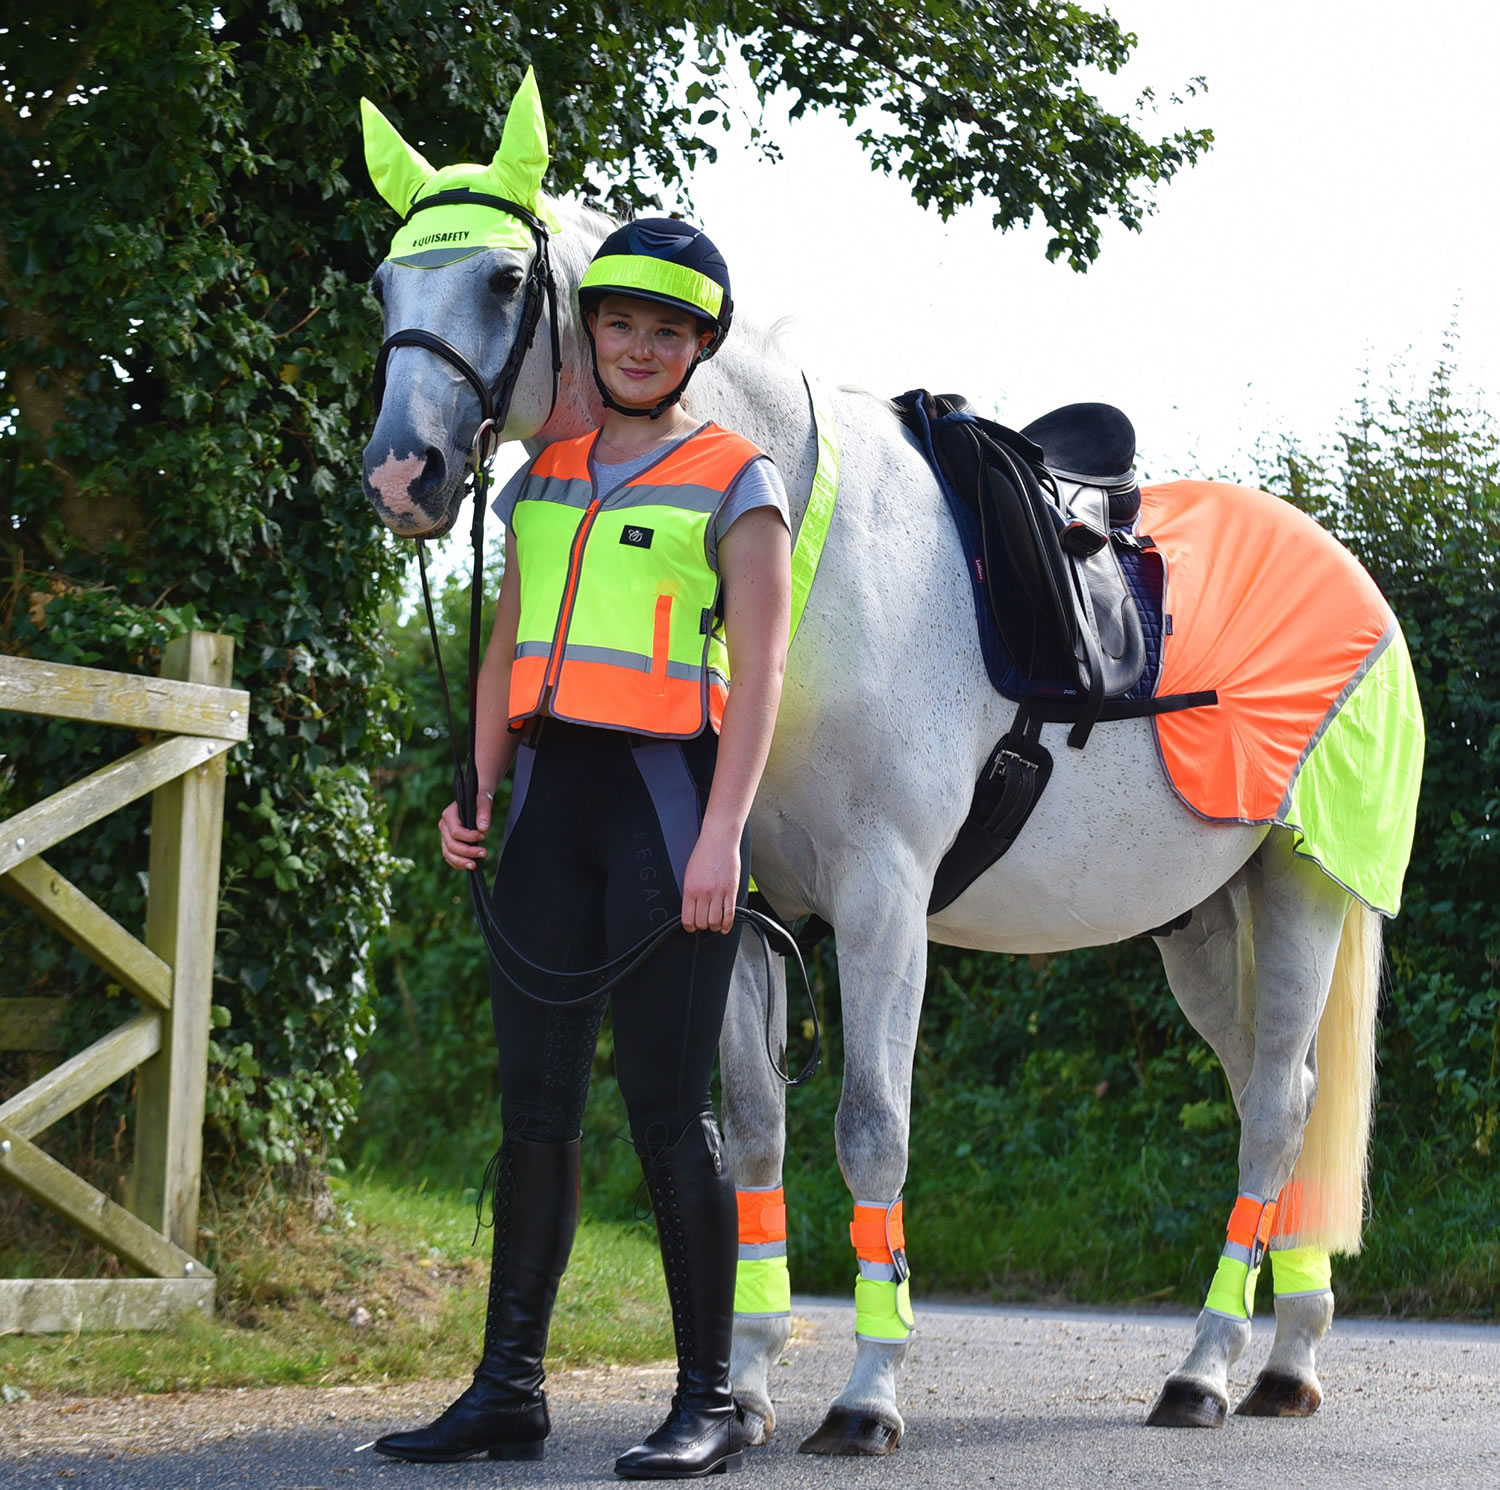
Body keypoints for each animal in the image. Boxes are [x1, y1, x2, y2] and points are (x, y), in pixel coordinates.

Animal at [360, 162, 1416, 1440]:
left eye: (505, 278)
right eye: (384, 282)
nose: (400, 472)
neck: (805, 559)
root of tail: (1359, 579)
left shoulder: (882, 900)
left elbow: (871, 1127)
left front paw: (866, 1394)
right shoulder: (741, 908)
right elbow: (751, 1131)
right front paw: (743, 1389)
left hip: (1304, 890)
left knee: (1271, 1110)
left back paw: (1208, 1368)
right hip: (1201, 927)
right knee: (1287, 1091)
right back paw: (1286, 1353)